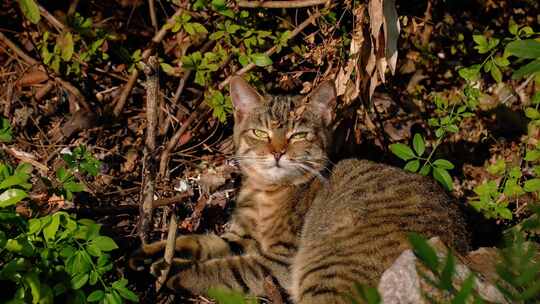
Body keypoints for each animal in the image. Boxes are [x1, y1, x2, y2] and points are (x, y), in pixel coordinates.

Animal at [133, 77, 470, 304]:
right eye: (260, 133)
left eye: (298, 136)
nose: (278, 152)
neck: (264, 191)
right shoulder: (242, 238)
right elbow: (197, 241)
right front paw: (149, 252)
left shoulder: (276, 260)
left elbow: (221, 270)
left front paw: (171, 273)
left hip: (325, 266)